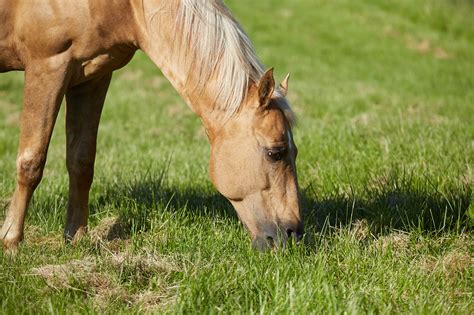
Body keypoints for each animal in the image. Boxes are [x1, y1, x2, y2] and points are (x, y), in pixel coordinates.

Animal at [0, 0, 304, 252]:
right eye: (274, 152)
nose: (294, 235)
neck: (125, 7)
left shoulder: (92, 77)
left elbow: (81, 162)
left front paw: (76, 238)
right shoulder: (48, 67)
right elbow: (31, 161)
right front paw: (11, 240)